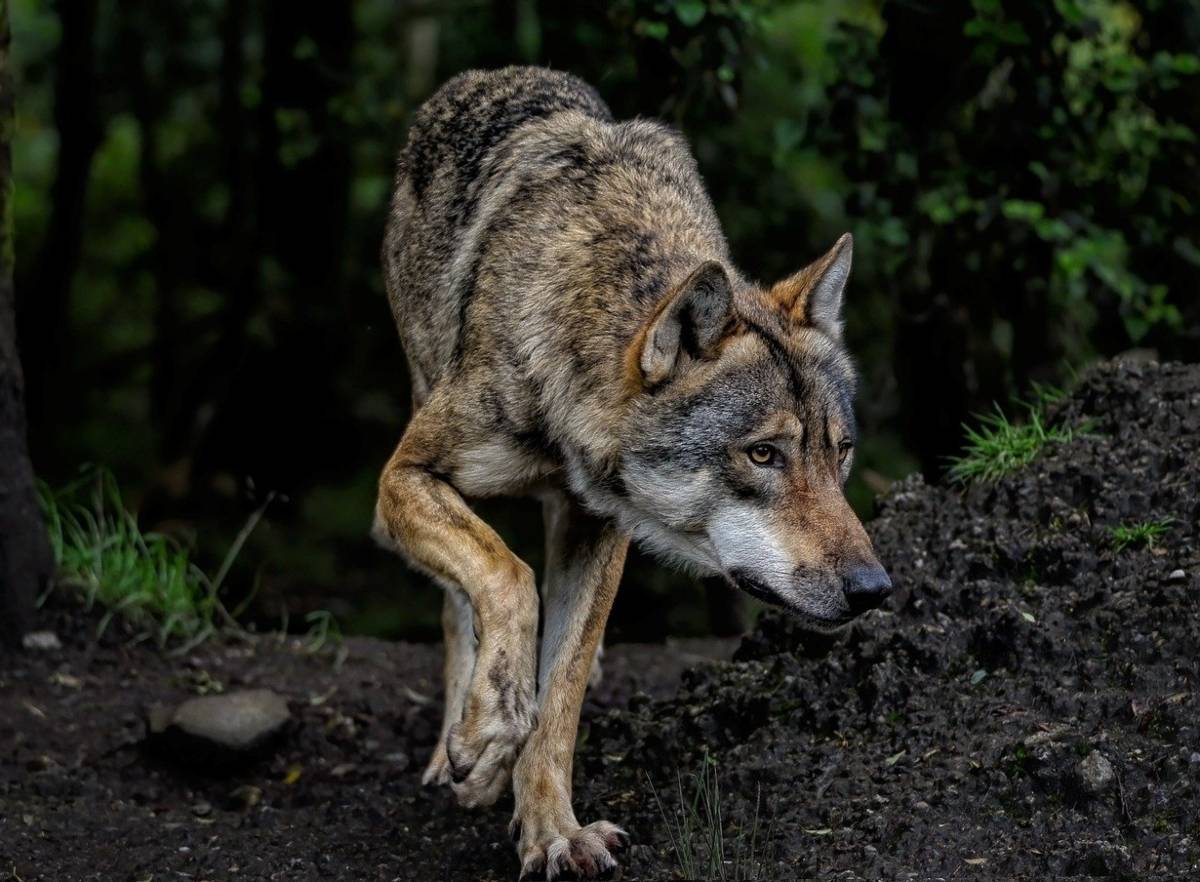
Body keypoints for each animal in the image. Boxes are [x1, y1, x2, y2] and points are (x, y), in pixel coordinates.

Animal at [374, 65, 892, 878]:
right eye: (763, 454)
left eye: (837, 453)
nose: (875, 590)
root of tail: (483, 78)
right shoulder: (404, 477)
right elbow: (506, 577)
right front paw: (488, 731)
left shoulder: (599, 527)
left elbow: (561, 694)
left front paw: (552, 831)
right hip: (422, 401)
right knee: (460, 601)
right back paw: (461, 744)